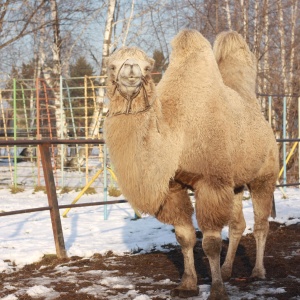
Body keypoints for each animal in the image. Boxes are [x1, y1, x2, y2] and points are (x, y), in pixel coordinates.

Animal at [104, 28, 280, 300]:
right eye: (112, 66)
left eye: (147, 67)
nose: (131, 70)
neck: (177, 134)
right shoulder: (173, 186)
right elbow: (184, 237)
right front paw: (187, 284)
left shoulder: (211, 182)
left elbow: (210, 242)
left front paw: (217, 290)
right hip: (235, 182)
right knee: (238, 224)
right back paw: (228, 270)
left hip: (264, 175)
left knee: (261, 224)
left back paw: (258, 272)